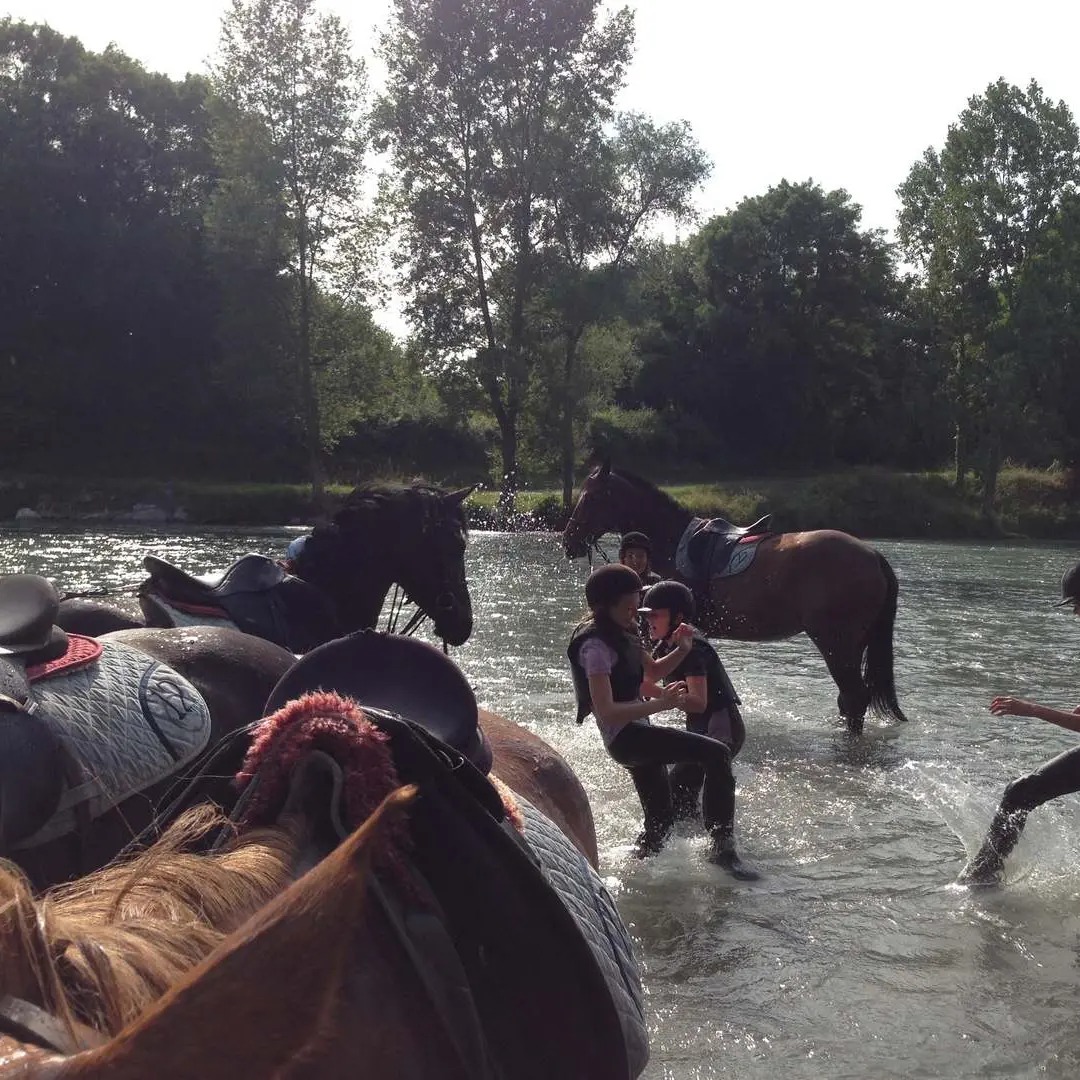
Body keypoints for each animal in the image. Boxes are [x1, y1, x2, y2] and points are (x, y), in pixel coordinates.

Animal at [561, 460, 907, 730]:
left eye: (591, 496)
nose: (569, 540)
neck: (671, 539)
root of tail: (872, 554)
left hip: (836, 643)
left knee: (854, 697)